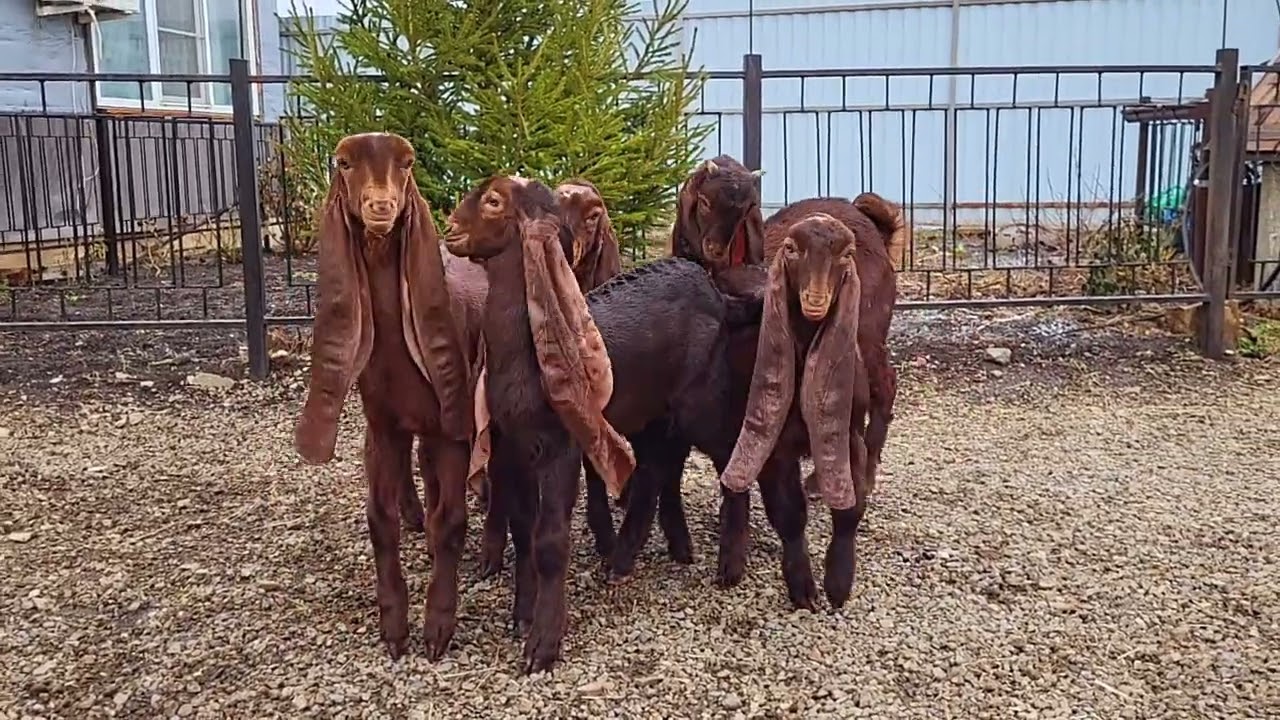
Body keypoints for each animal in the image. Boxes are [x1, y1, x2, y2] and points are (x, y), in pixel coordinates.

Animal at [292, 132, 485, 660]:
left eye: (407, 163)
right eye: (343, 163)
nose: (381, 206)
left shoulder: (452, 426)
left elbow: (453, 520)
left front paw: (438, 627)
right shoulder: (382, 426)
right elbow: (380, 521)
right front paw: (394, 628)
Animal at [444, 176, 758, 671]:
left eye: (493, 201)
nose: (450, 228)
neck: (528, 355)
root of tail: (717, 293)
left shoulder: (560, 444)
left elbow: (550, 540)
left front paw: (543, 645)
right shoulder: (513, 444)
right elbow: (522, 531)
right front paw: (522, 615)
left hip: (701, 396)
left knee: (729, 453)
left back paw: (730, 565)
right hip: (656, 409)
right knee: (657, 471)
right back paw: (636, 557)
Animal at [719, 213, 872, 609]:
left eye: (846, 254)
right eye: (791, 249)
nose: (815, 300)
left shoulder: (850, 433)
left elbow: (851, 507)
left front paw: (838, 582)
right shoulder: (777, 445)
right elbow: (789, 514)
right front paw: (802, 586)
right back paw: (731, 559)